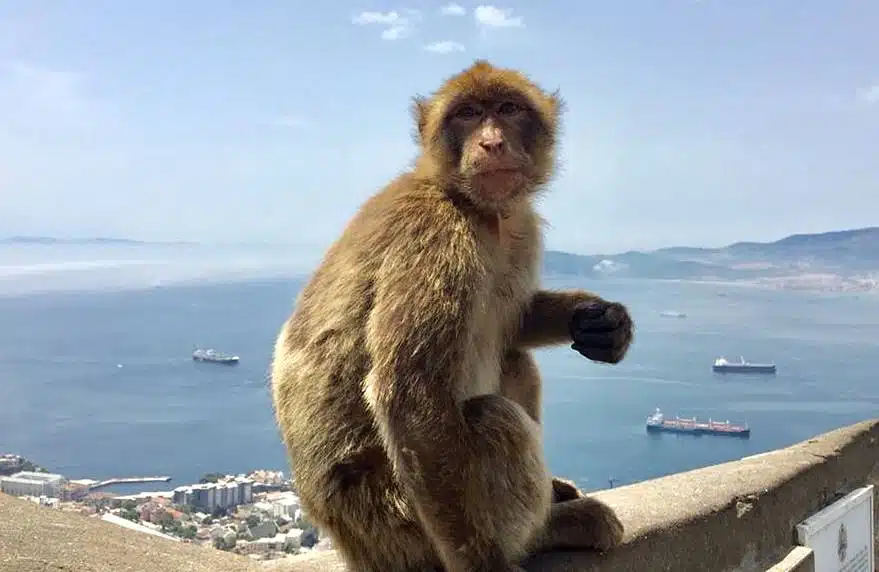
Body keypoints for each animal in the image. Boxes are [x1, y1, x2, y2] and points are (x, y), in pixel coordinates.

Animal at [272, 61, 636, 572]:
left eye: (507, 109)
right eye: (467, 114)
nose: (492, 142)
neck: (473, 207)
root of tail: (352, 544)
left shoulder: (518, 227)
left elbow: (513, 320)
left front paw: (602, 321)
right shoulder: (438, 238)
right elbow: (411, 396)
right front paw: (485, 564)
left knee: (513, 360)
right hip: (399, 521)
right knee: (493, 419)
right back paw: (549, 529)